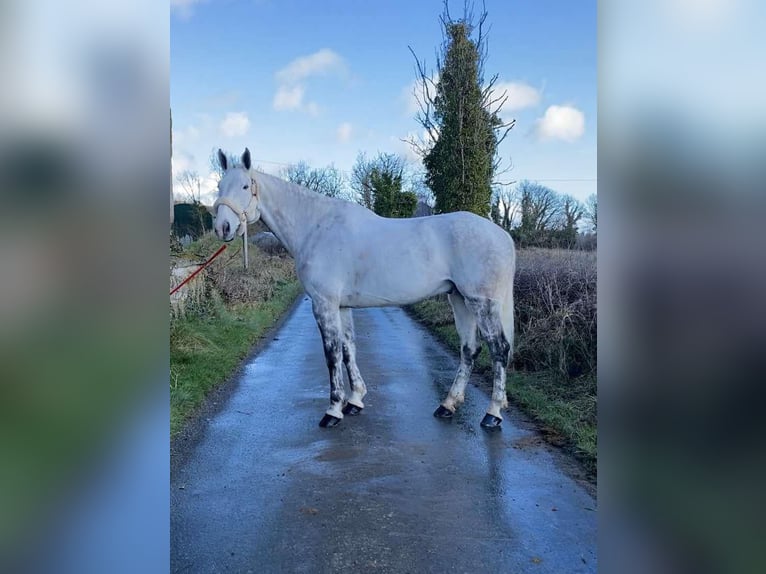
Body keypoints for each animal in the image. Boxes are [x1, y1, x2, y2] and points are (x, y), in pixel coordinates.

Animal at [213, 151, 520, 430]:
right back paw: (448, 406)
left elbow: (332, 353)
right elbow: (348, 348)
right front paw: (355, 400)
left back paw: (492, 414)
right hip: (459, 299)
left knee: (499, 349)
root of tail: (502, 235)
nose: (223, 227)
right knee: (469, 349)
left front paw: (333, 410)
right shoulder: (342, 305)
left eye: (244, 186)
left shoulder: (324, 303)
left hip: (481, 302)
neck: (315, 227)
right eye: (219, 186)